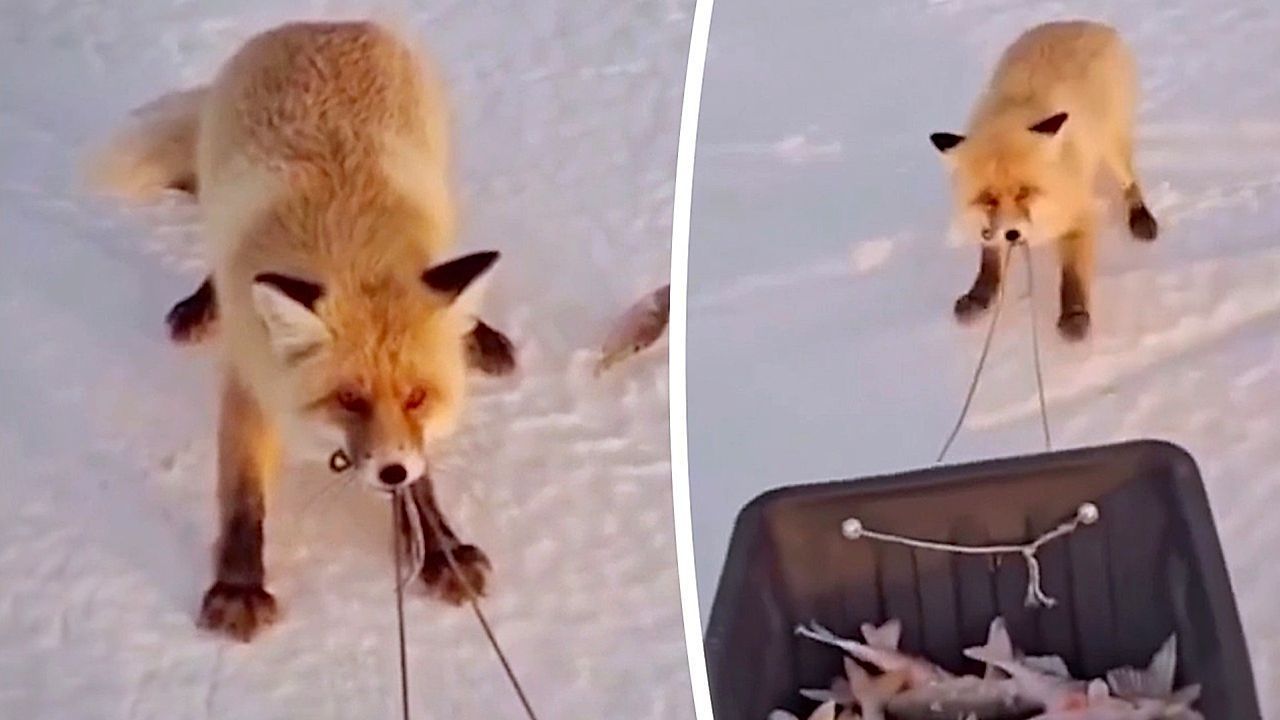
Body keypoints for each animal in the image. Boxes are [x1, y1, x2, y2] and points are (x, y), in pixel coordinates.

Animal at [89, 21, 517, 641]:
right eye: (348, 398)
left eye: (417, 396)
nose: (388, 469)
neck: (351, 256)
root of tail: (326, 24)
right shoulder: (252, 377)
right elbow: (242, 494)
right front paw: (239, 587)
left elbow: (422, 482)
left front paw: (440, 550)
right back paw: (202, 306)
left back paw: (477, 332)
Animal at [929, 20, 1159, 340]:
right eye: (988, 199)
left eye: (1025, 192)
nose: (1012, 234)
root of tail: (1085, 22)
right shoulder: (988, 225)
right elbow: (989, 257)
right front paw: (980, 295)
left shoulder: (1077, 212)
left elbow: (1072, 274)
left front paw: (1074, 315)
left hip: (1112, 144)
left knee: (1129, 181)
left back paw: (1140, 217)